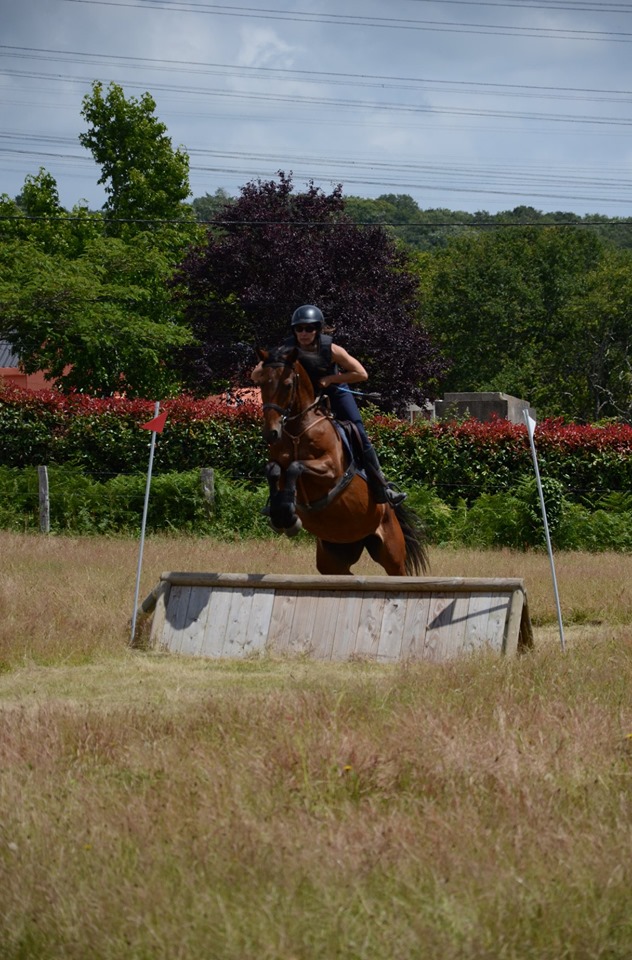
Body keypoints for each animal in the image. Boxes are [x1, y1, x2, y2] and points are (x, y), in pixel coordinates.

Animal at [255, 346, 429, 576]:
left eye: (288, 385)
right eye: (261, 383)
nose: (271, 433)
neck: (297, 431)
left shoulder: (330, 470)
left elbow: (295, 466)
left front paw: (288, 516)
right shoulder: (279, 463)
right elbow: (273, 470)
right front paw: (280, 513)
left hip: (391, 553)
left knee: (396, 570)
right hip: (333, 557)